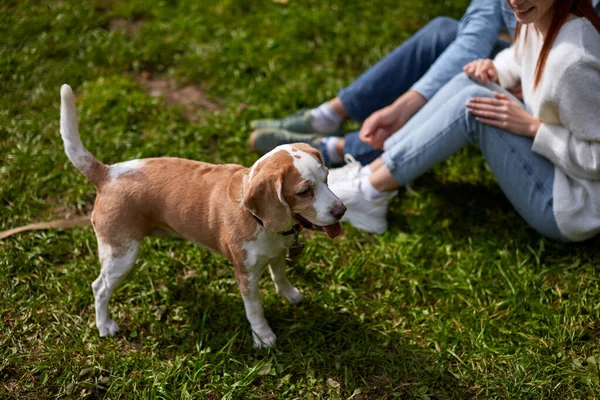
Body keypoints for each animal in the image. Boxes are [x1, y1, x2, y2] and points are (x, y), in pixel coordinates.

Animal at [59, 84, 346, 346]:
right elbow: (255, 310)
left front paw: (290, 294)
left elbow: (281, 276)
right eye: (304, 191)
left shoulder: (277, 254)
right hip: (120, 255)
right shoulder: (246, 275)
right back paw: (104, 325)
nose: (341, 211)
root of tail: (106, 173)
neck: (260, 220)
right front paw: (263, 337)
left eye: (327, 178)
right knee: (99, 288)